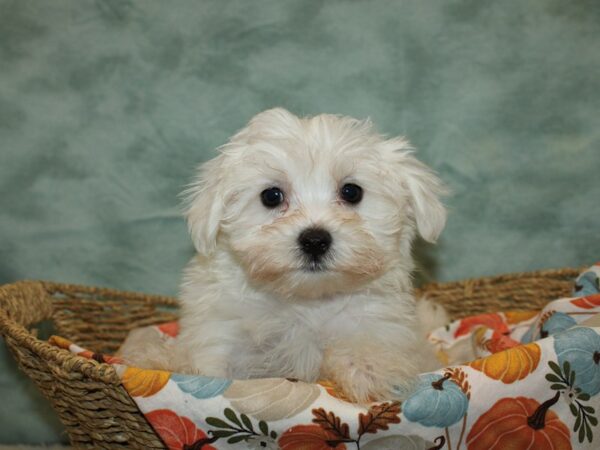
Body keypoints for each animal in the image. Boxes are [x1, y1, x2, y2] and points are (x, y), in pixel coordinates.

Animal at [127, 108, 450, 400]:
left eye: (351, 192)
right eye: (271, 196)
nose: (315, 240)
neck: (305, 301)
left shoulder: (384, 326)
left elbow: (368, 344)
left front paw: (370, 369)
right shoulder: (221, 337)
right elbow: (209, 367)